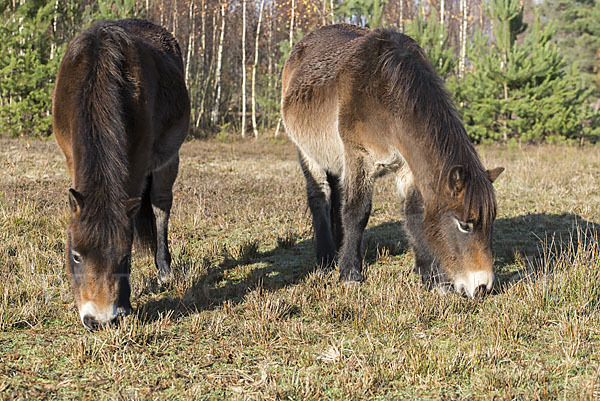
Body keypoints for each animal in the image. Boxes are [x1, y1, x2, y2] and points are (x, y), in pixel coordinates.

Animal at [54, 19, 190, 328]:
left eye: (125, 257)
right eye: (76, 256)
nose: (100, 320)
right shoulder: (70, 156)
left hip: (168, 159)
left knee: (161, 205)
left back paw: (164, 270)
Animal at [282, 23, 502, 296]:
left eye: (490, 222)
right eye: (464, 224)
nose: (482, 287)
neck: (384, 93)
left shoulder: (407, 167)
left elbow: (413, 213)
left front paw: (431, 277)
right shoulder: (359, 157)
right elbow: (357, 212)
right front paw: (350, 273)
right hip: (307, 154)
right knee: (319, 197)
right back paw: (326, 260)